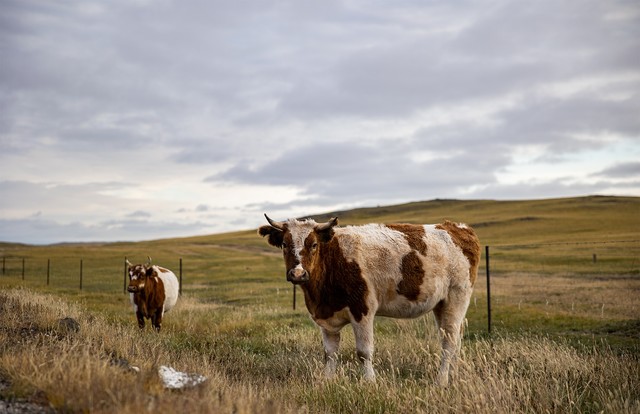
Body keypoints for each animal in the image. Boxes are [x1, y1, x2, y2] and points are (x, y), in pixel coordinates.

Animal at [258, 215, 478, 386]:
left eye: (313, 245)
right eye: (285, 244)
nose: (298, 273)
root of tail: (456, 227)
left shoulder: (362, 308)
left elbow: (364, 351)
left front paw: (370, 382)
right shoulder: (326, 316)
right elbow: (330, 352)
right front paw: (327, 381)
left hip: (456, 298)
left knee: (449, 342)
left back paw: (441, 381)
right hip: (441, 305)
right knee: (455, 339)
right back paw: (454, 376)